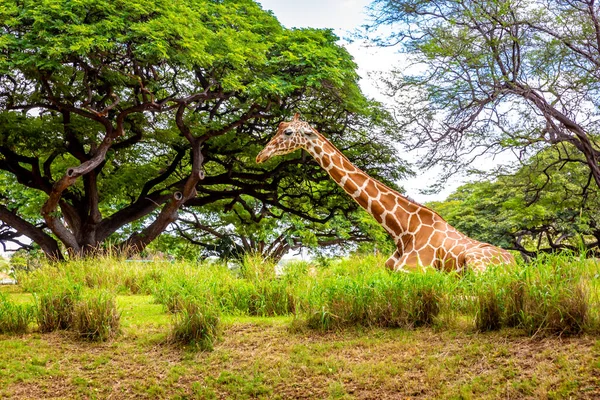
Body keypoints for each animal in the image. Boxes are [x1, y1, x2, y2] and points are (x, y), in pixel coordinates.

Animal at [255, 114, 512, 274]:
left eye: (288, 132)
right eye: (278, 127)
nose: (261, 155)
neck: (403, 231)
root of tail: (517, 263)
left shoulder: (414, 272)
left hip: (478, 263)